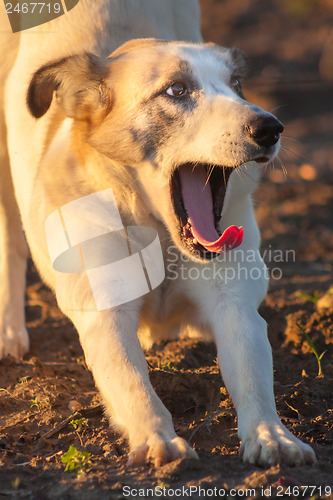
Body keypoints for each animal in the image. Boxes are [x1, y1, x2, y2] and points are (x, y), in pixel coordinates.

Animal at [0, 0, 316, 468]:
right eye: (177, 91)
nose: (270, 127)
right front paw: (157, 440)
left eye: (237, 85)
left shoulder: (236, 309)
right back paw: (10, 334)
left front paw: (272, 436)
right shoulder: (106, 317)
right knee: (10, 245)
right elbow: (133, 384)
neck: (161, 237)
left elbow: (254, 381)